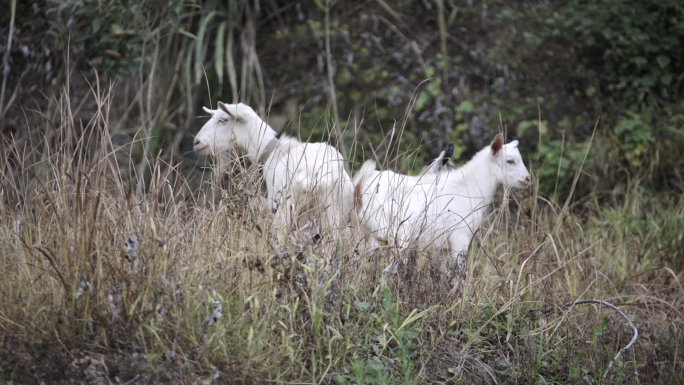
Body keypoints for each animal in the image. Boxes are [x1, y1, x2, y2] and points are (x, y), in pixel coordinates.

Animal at [192, 100, 352, 248]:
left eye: (223, 120)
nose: (196, 142)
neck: (275, 151)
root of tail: (312, 176)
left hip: (286, 210)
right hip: (330, 215)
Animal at [356, 135, 532, 294]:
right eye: (510, 161)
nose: (527, 178)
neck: (468, 188)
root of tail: (359, 188)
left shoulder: (443, 248)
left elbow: (444, 278)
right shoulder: (461, 238)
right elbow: (460, 277)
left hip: (371, 236)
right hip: (398, 238)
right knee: (387, 270)